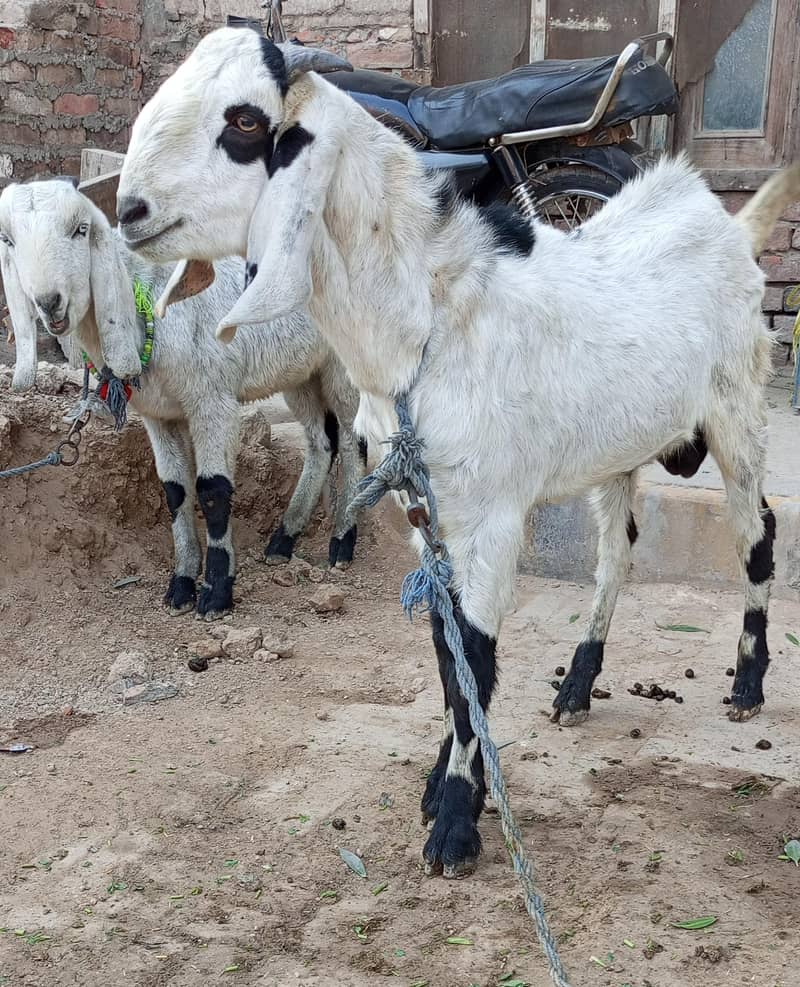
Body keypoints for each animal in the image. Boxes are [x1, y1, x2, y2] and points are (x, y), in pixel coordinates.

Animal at [0, 177, 364, 619]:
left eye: (80, 230)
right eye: (8, 240)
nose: (49, 302)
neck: (149, 302)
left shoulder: (213, 400)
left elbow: (213, 491)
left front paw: (217, 592)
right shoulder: (158, 416)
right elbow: (176, 491)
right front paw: (182, 584)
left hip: (344, 362)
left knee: (354, 440)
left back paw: (342, 540)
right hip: (300, 370)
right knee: (321, 441)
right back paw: (283, 539)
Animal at [115, 28, 800, 876]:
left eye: (244, 121)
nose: (128, 210)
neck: (426, 318)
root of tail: (725, 223)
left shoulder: (492, 515)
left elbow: (475, 652)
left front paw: (453, 823)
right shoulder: (425, 507)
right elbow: (450, 659)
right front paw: (449, 786)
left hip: (738, 414)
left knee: (758, 536)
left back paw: (746, 683)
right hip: (615, 452)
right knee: (617, 554)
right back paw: (578, 684)